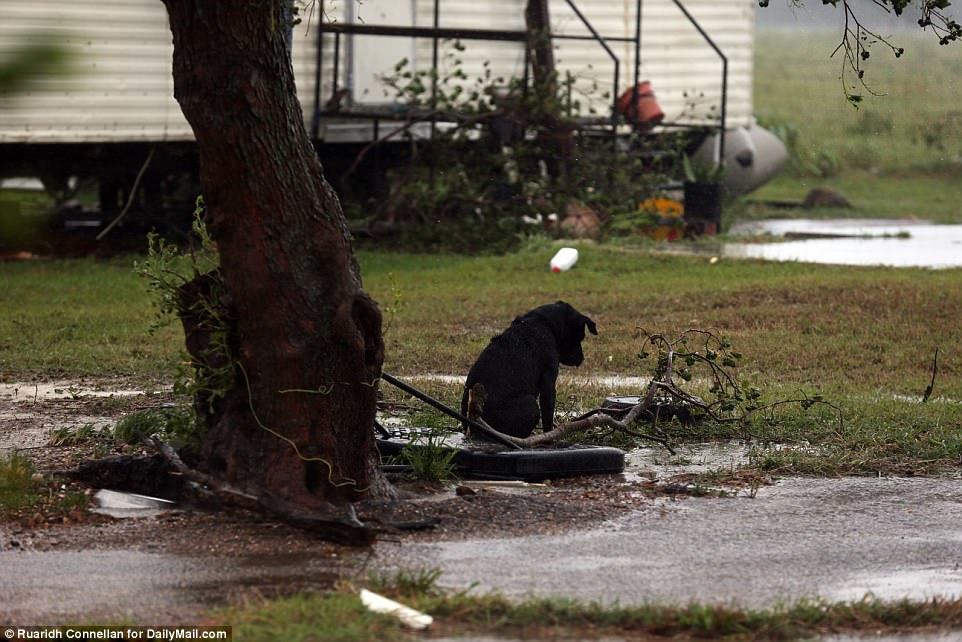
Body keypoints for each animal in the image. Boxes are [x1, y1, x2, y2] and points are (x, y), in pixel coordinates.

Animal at [462, 302, 596, 438]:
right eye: (580, 337)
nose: (581, 358)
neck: (542, 322)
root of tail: (473, 426)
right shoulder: (548, 385)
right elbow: (548, 418)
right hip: (531, 405)